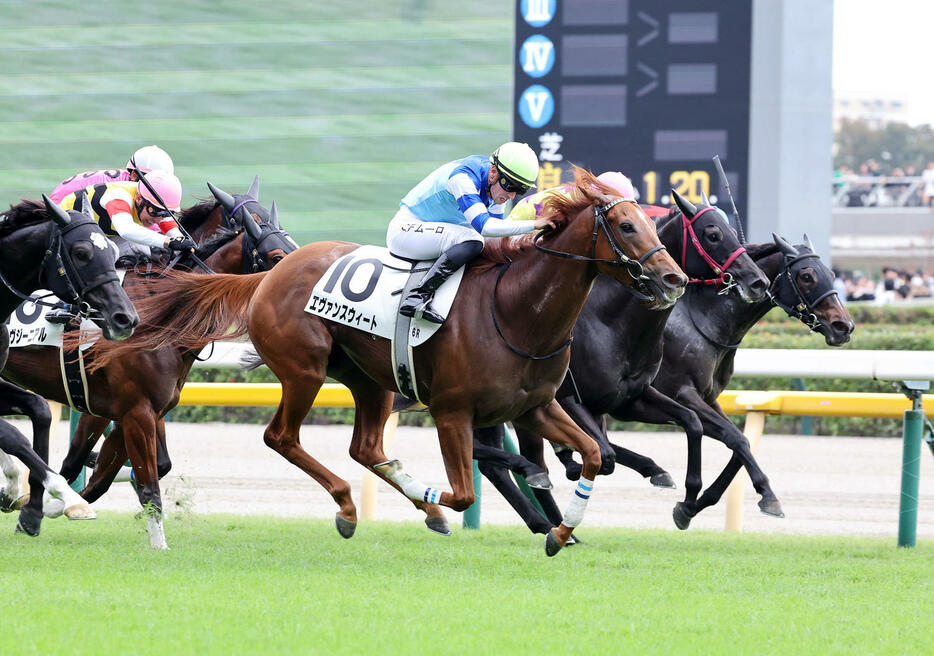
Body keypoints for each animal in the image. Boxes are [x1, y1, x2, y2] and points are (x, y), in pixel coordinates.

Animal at [0, 193, 139, 524]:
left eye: (113, 251)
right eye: (81, 252)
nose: (125, 318)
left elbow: (40, 410)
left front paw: (31, 506)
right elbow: (14, 436)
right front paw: (72, 499)